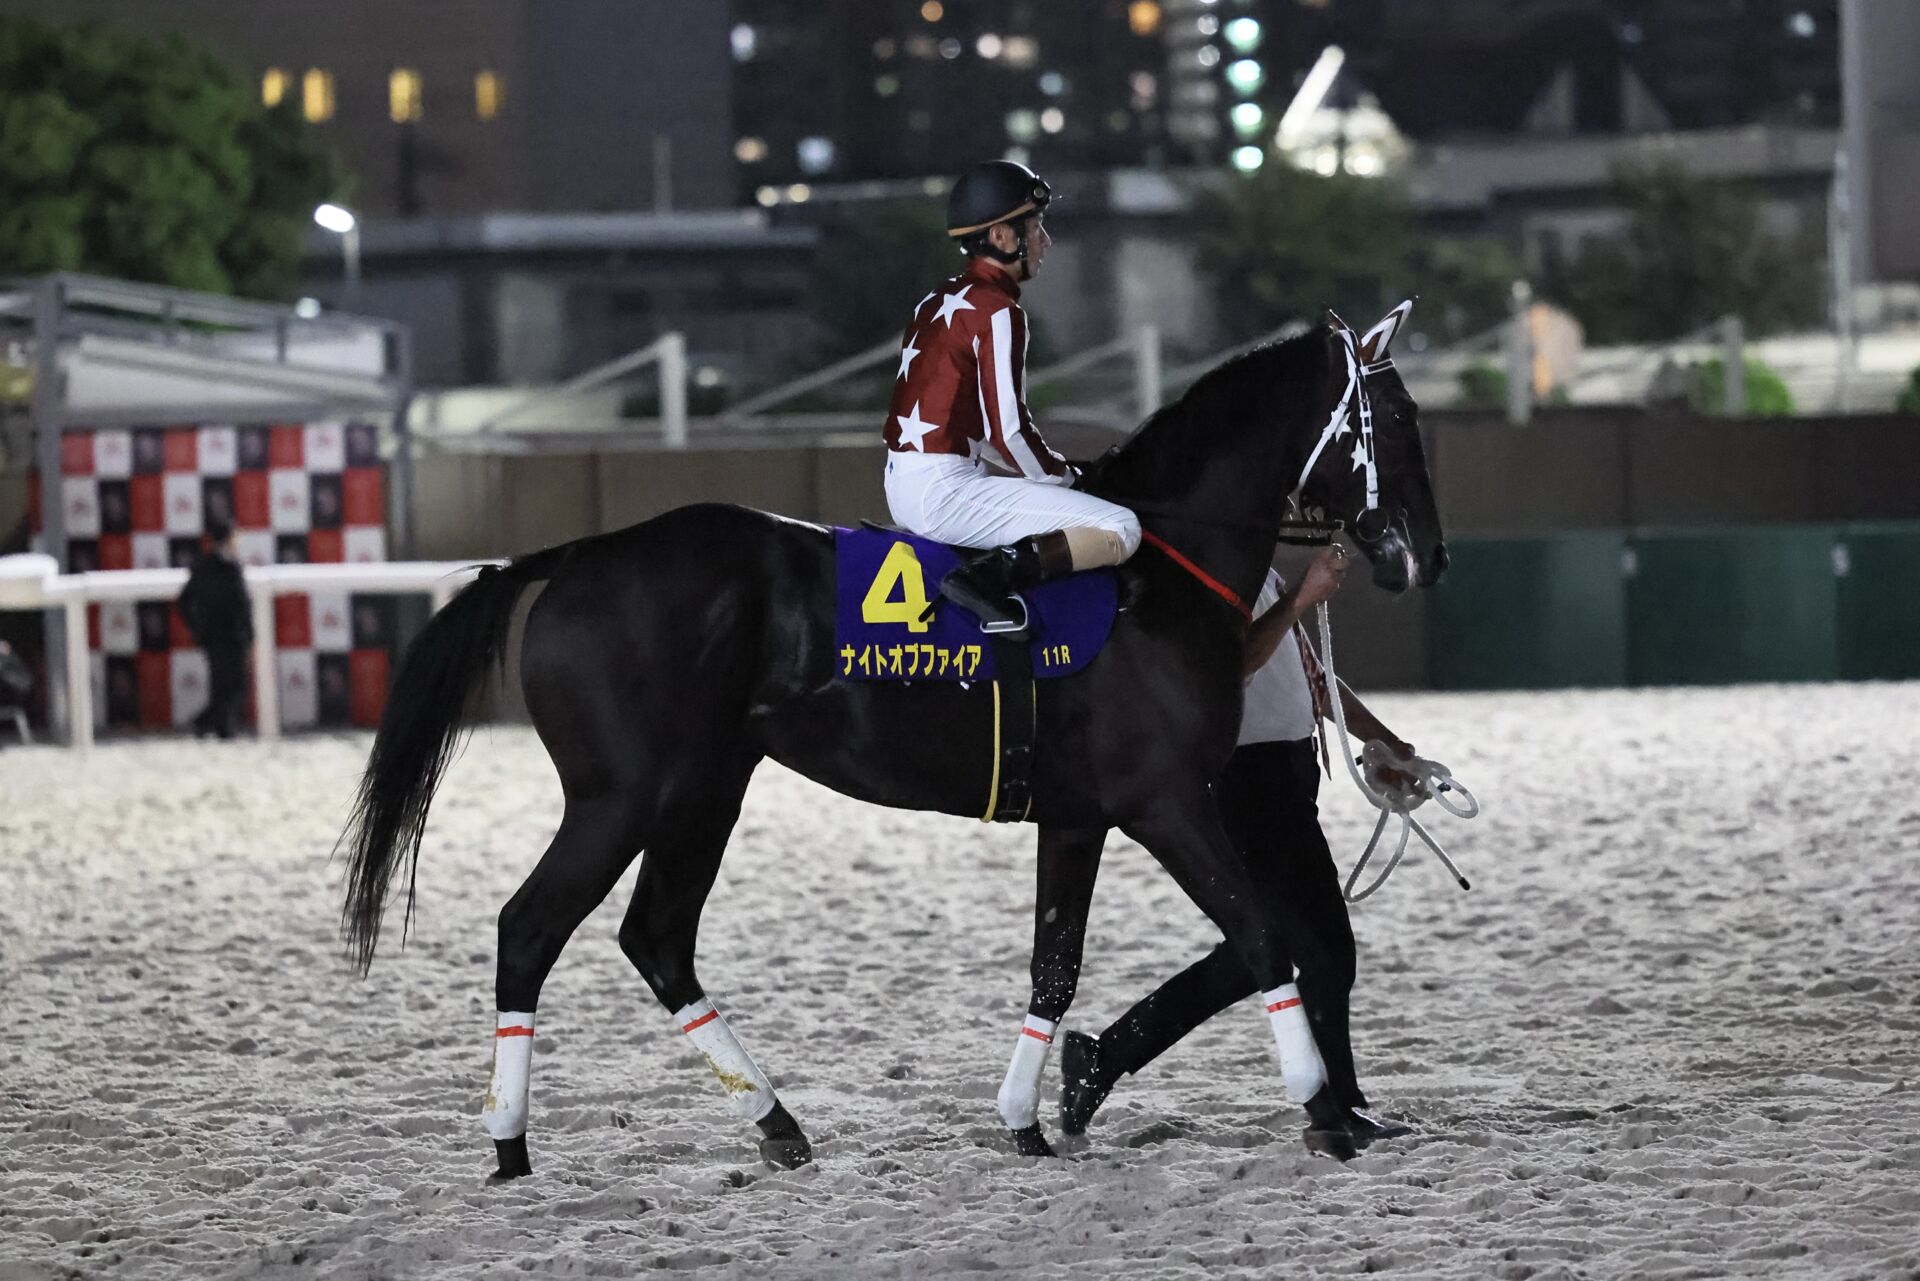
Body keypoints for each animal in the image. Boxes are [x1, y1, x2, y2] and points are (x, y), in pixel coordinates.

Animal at [338, 303, 1444, 1182]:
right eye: (1395, 420)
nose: (1425, 559)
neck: (1157, 568)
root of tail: (578, 554)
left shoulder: (1079, 818)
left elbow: (1055, 966)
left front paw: (1025, 1122)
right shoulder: (1164, 802)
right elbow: (1262, 935)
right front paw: (1323, 1113)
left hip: (704, 792)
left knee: (656, 938)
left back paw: (777, 1123)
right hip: (620, 799)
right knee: (529, 928)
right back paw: (510, 1142)